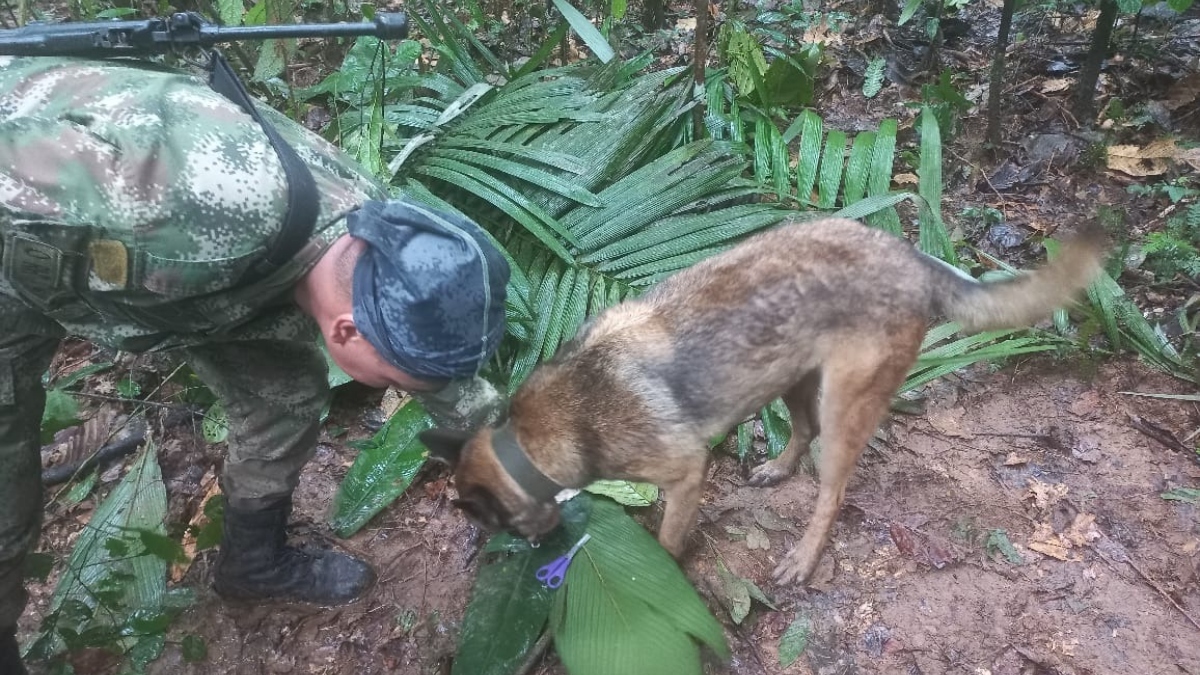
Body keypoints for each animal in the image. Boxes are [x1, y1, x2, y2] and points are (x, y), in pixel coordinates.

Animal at [422, 216, 1104, 583]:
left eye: (493, 524)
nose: (536, 552)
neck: (531, 439)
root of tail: (912, 257)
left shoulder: (685, 473)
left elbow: (667, 540)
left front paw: (663, 571)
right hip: (792, 378)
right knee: (800, 432)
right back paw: (777, 469)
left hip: (843, 404)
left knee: (832, 491)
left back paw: (803, 556)